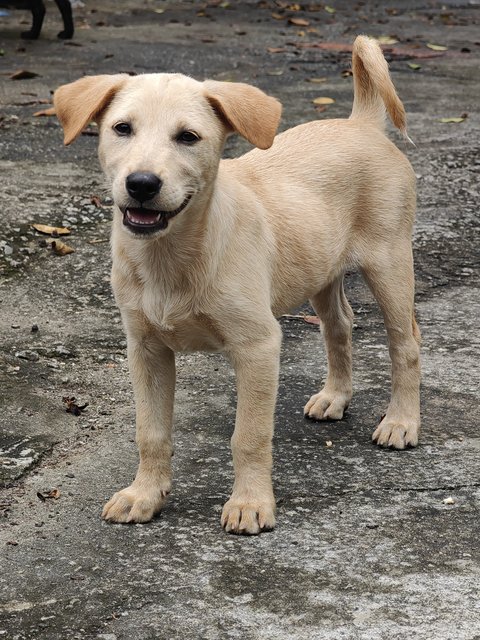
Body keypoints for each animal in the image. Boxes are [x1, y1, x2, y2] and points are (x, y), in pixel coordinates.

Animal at [53, 36, 420, 536]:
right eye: (121, 129)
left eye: (188, 137)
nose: (142, 184)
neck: (174, 256)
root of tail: (359, 123)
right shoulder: (145, 348)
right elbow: (151, 431)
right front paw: (144, 494)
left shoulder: (258, 346)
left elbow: (249, 435)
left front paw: (250, 503)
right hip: (320, 266)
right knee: (339, 325)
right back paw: (335, 397)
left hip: (390, 261)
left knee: (406, 342)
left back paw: (401, 422)